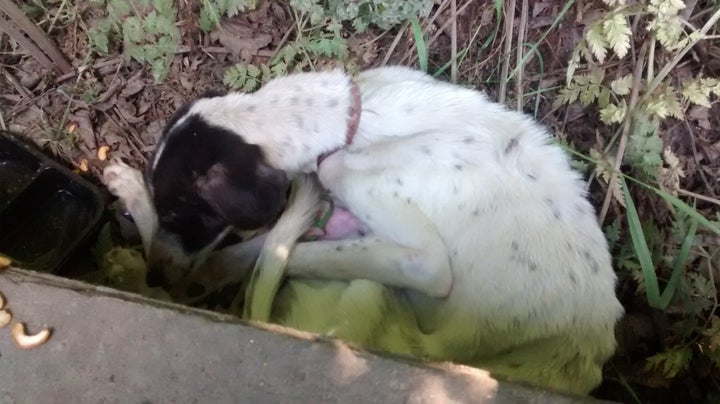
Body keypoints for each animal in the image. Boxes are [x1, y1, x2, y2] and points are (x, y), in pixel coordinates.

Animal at [105, 67, 624, 394]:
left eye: (181, 216)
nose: (156, 276)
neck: (356, 119)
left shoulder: (425, 262)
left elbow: (275, 248)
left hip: (372, 294)